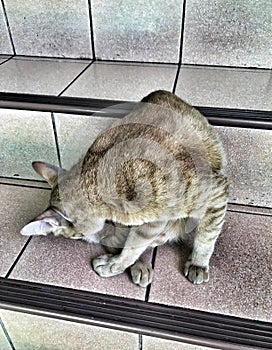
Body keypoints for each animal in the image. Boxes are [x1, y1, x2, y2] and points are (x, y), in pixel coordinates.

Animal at [20, 90, 227, 288]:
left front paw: (198, 263)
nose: (84, 238)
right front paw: (132, 264)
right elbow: (132, 244)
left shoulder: (215, 193)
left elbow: (206, 237)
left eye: (75, 235)